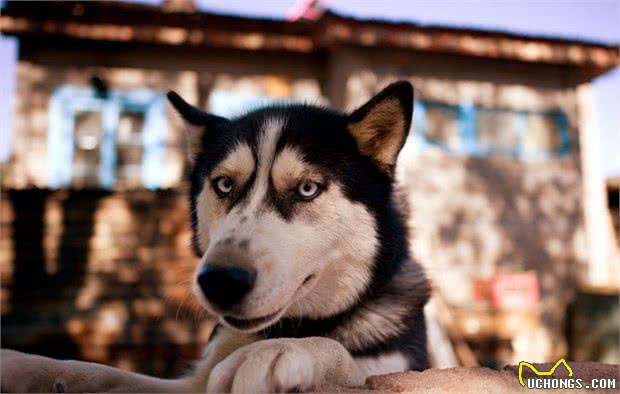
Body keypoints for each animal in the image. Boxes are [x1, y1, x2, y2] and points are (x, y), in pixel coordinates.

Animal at [0, 81, 428, 392]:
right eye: (223, 184)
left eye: (307, 189)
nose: (221, 281)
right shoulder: (187, 385)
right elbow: (92, 370)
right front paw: (19, 364)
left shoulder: (402, 370)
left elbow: (344, 356)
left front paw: (282, 352)